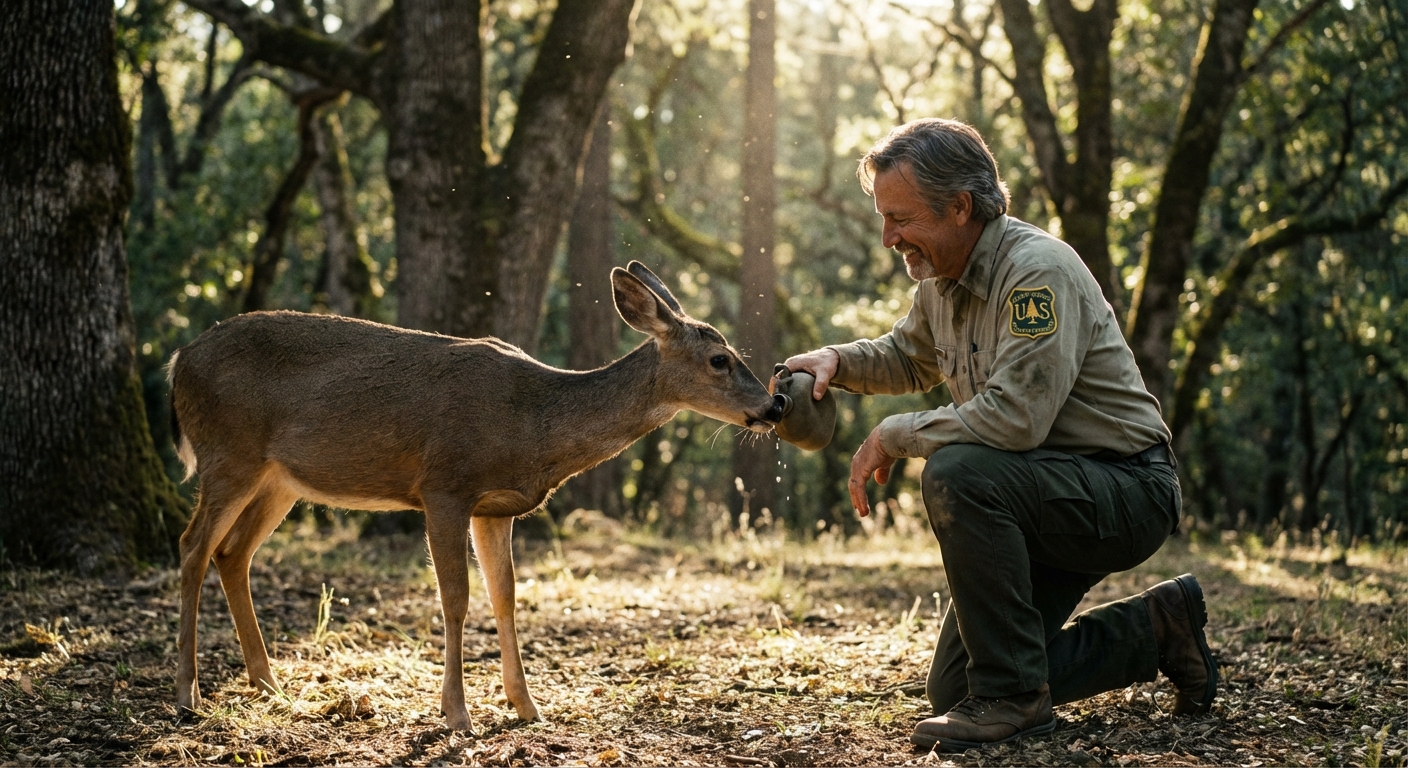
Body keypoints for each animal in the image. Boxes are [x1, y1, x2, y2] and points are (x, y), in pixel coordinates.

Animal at [168, 261, 782, 730]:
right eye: (720, 359)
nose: (774, 405)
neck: (532, 427)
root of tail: (178, 361)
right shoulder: (444, 486)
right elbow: (456, 599)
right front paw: (456, 714)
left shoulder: (495, 507)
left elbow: (505, 595)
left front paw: (526, 705)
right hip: (229, 452)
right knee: (193, 546)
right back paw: (187, 693)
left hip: (279, 479)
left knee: (233, 553)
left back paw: (268, 682)